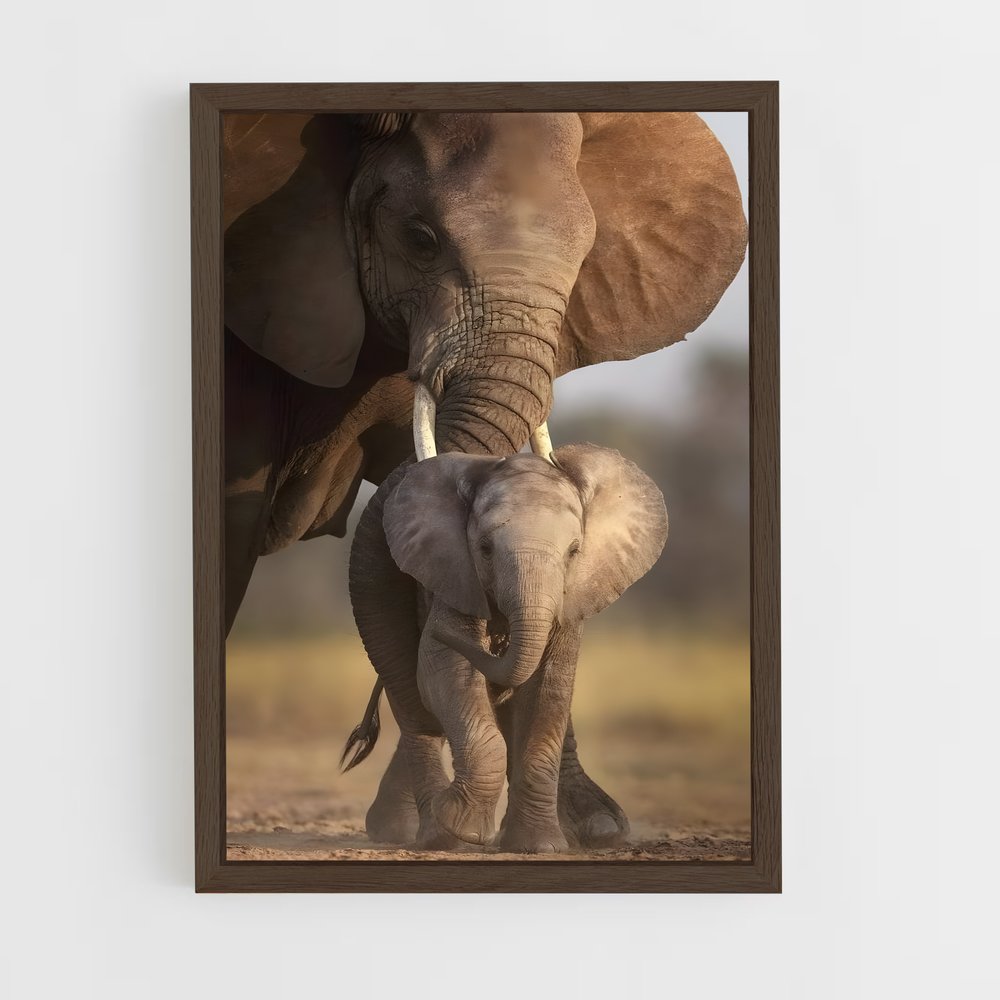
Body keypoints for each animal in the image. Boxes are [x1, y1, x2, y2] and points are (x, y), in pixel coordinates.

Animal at [343, 445, 668, 852]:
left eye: (574, 551)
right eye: (484, 549)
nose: (497, 642)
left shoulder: (569, 601)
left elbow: (549, 688)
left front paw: (540, 847)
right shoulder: (455, 575)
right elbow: (443, 671)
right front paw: (462, 827)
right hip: (381, 605)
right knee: (410, 699)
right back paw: (433, 833)